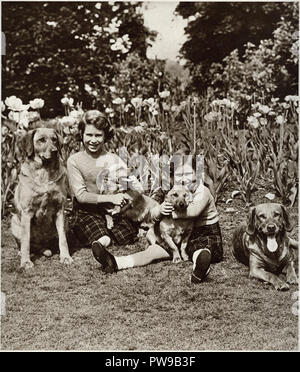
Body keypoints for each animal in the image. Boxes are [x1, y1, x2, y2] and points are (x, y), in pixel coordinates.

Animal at [11, 127, 73, 268]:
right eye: (41, 140)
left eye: (54, 139)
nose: (55, 151)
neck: (45, 171)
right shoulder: (27, 213)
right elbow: (26, 241)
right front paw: (25, 261)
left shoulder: (60, 210)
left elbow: (63, 239)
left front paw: (65, 257)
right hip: (14, 222)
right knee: (23, 243)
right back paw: (21, 253)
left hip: (66, 220)